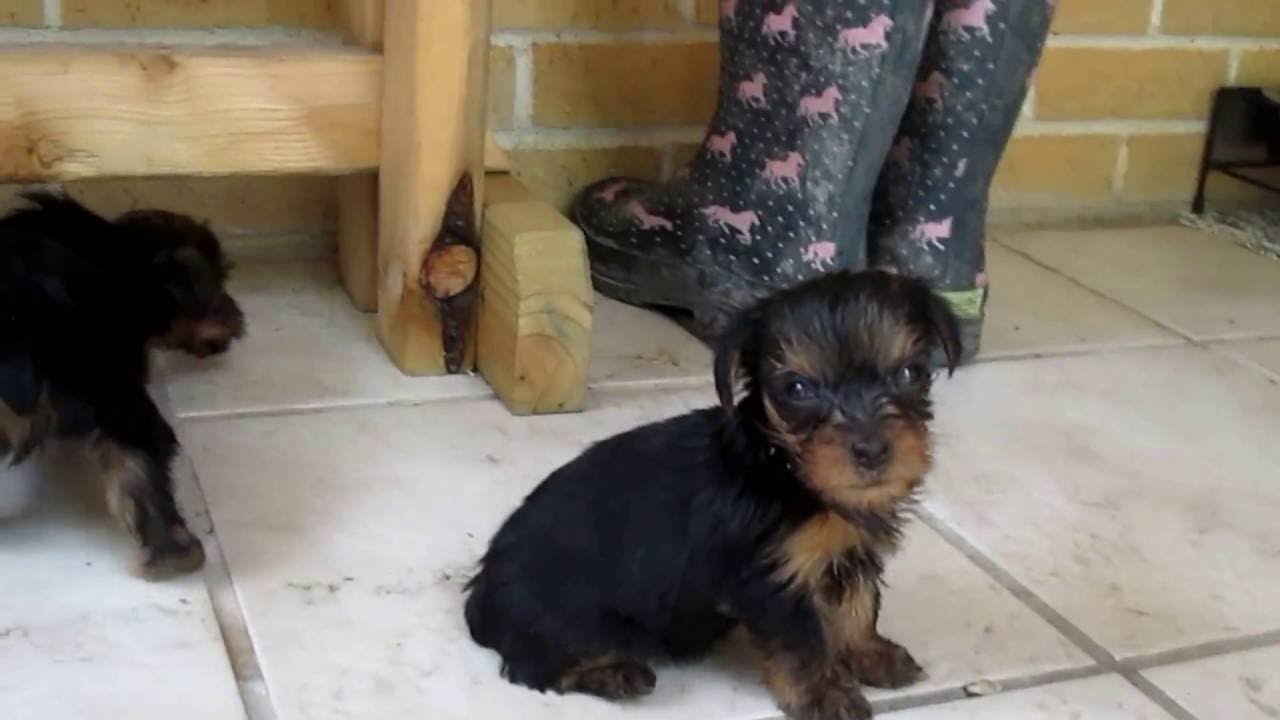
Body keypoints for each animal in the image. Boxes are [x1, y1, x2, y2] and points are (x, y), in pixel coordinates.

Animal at [0, 192, 247, 576]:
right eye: (218, 287)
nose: (238, 319)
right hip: (114, 387)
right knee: (141, 449)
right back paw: (175, 553)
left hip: (110, 385)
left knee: (137, 452)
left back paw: (172, 553)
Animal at [468, 270, 962, 717]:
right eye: (798, 388)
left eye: (909, 373)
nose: (872, 450)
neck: (788, 469)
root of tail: (482, 590)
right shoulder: (772, 581)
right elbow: (803, 644)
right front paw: (825, 695)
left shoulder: (848, 555)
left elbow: (857, 608)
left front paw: (871, 654)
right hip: (577, 619)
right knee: (536, 664)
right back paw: (617, 675)